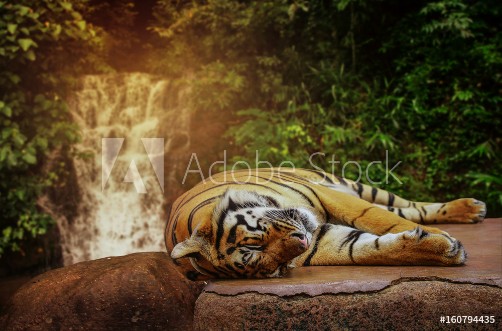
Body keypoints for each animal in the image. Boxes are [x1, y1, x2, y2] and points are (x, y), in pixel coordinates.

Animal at [166, 169, 486, 280]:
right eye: (276, 267)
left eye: (253, 242)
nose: (303, 241)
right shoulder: (322, 241)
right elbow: (366, 250)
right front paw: (444, 249)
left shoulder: (328, 194)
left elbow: (376, 217)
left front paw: (438, 236)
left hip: (350, 184)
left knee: (405, 206)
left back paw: (470, 208)